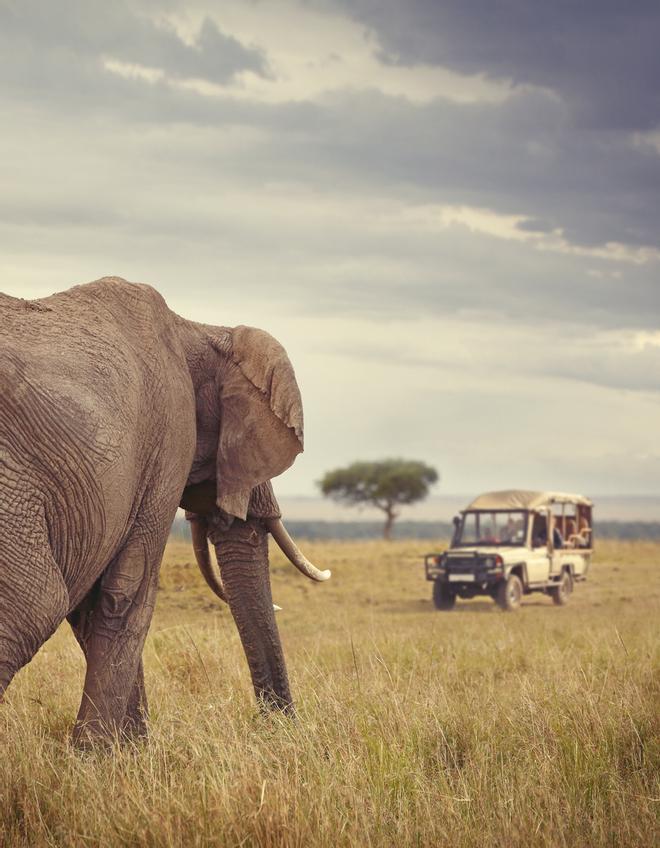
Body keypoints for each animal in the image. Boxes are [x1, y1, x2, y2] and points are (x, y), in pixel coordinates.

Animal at [0, 276, 330, 744]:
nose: (277, 729)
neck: (198, 328)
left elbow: (93, 600)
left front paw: (130, 749)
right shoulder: (169, 439)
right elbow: (125, 592)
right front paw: (98, 754)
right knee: (34, 606)